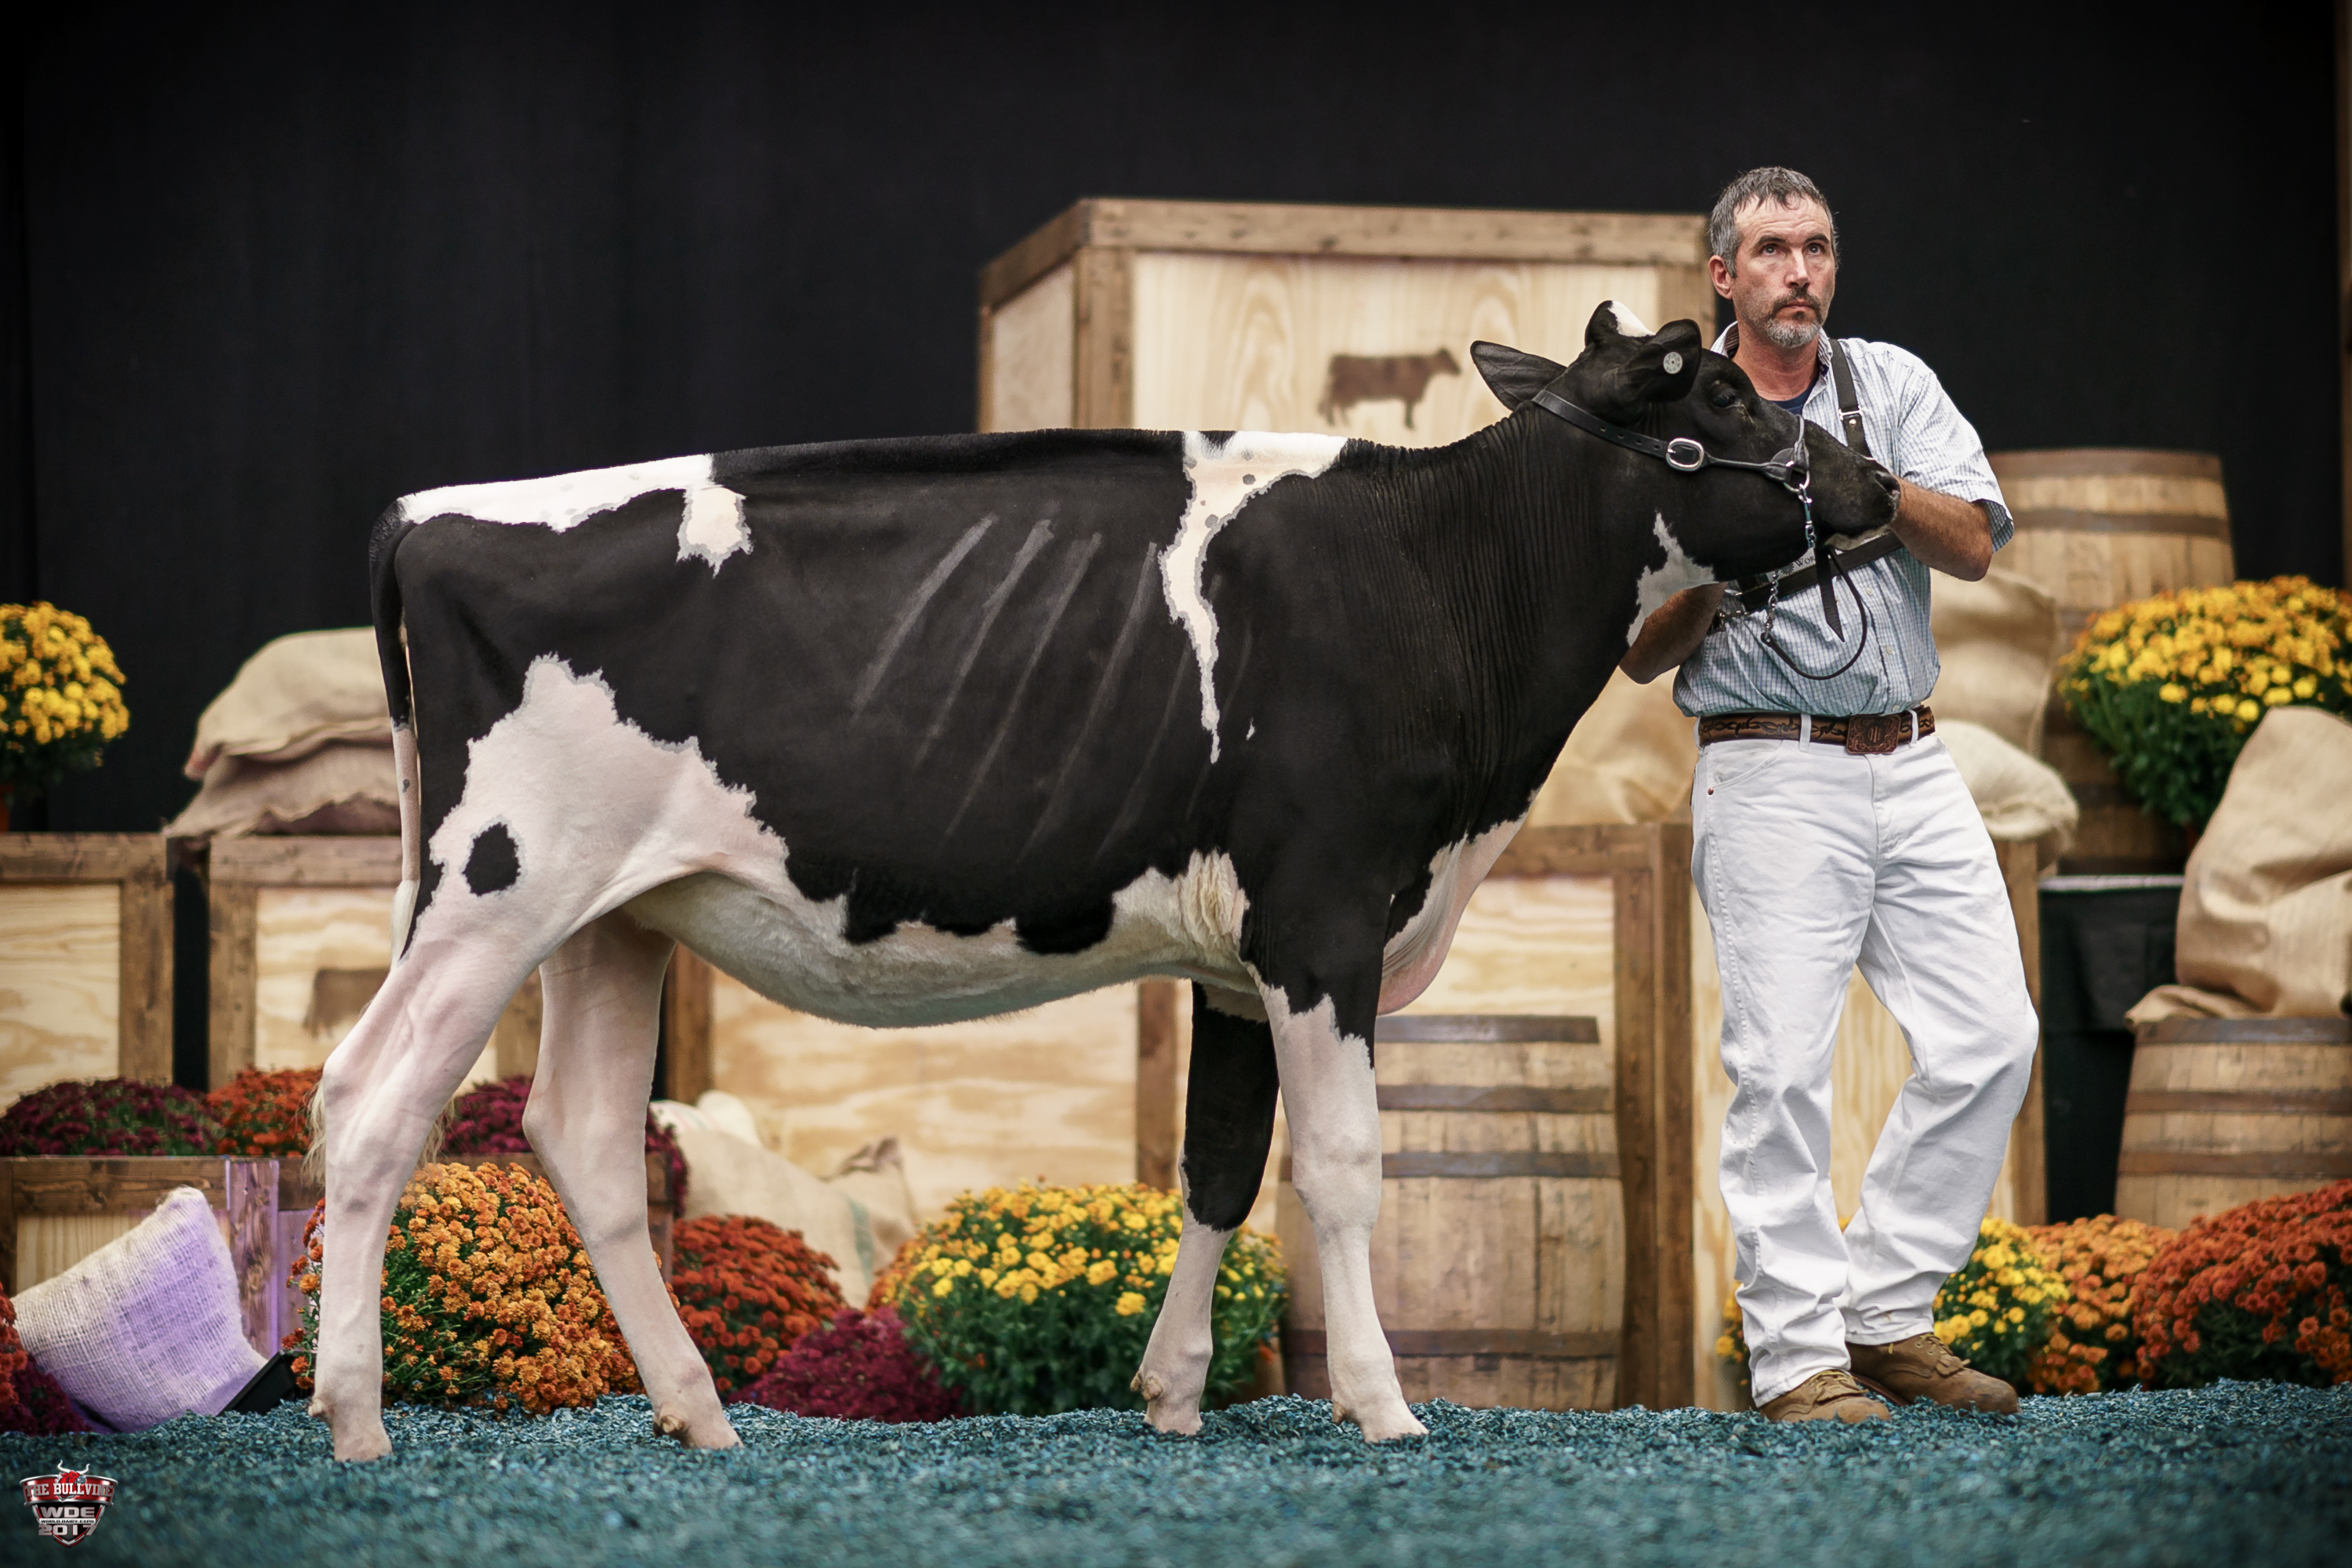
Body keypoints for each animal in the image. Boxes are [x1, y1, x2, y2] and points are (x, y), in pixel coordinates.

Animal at [1318, 347, 1460, 428]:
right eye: (1448, 360)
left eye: (1452, 358)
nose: (1459, 370)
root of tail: (1337, 359)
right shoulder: (1410, 395)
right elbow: (1409, 412)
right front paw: (1410, 426)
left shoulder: (1409, 396)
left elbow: (1408, 411)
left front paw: (1408, 425)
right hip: (1343, 392)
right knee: (1332, 403)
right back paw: (1332, 422)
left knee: (1336, 405)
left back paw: (1343, 422)